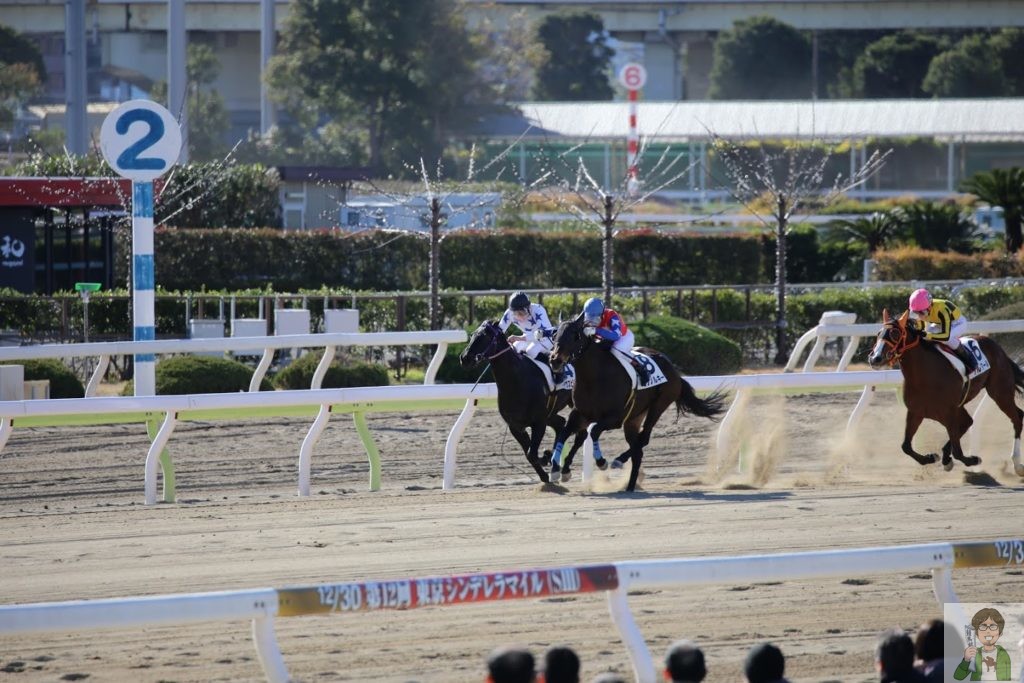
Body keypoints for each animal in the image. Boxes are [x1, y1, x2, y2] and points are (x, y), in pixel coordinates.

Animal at [459, 320, 587, 484]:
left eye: (483, 336)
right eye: (473, 335)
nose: (464, 358)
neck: (517, 381)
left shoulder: (539, 422)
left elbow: (532, 453)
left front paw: (546, 460)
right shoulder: (515, 426)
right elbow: (529, 454)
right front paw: (545, 469)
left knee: (579, 434)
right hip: (551, 413)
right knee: (561, 425)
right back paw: (555, 464)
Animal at [548, 314, 727, 492]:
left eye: (575, 335)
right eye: (555, 335)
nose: (555, 360)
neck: (594, 376)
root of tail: (675, 372)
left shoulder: (615, 418)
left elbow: (594, 431)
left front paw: (601, 461)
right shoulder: (581, 413)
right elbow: (566, 433)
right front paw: (558, 470)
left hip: (659, 405)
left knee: (644, 439)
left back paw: (619, 461)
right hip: (634, 418)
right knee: (638, 450)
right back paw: (630, 485)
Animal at [867, 309, 1024, 476]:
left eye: (895, 333)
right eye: (878, 333)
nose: (875, 358)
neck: (924, 376)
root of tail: (997, 347)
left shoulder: (949, 413)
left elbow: (958, 452)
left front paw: (974, 459)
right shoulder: (916, 412)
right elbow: (906, 446)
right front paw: (931, 457)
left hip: (1000, 392)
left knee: (1016, 418)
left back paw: (1017, 464)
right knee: (969, 421)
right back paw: (946, 458)